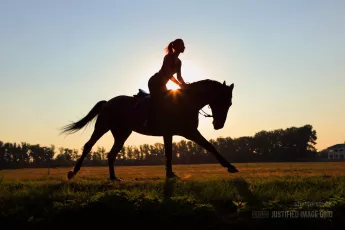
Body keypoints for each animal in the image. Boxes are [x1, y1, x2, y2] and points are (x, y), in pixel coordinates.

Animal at [60, 79, 238, 181]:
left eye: (230, 104)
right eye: (224, 102)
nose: (219, 125)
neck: (186, 101)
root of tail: (107, 102)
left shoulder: (171, 133)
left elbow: (169, 153)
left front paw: (170, 174)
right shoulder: (189, 132)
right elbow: (210, 146)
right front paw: (230, 167)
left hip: (122, 133)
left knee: (111, 154)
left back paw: (113, 178)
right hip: (102, 127)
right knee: (88, 146)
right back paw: (73, 172)